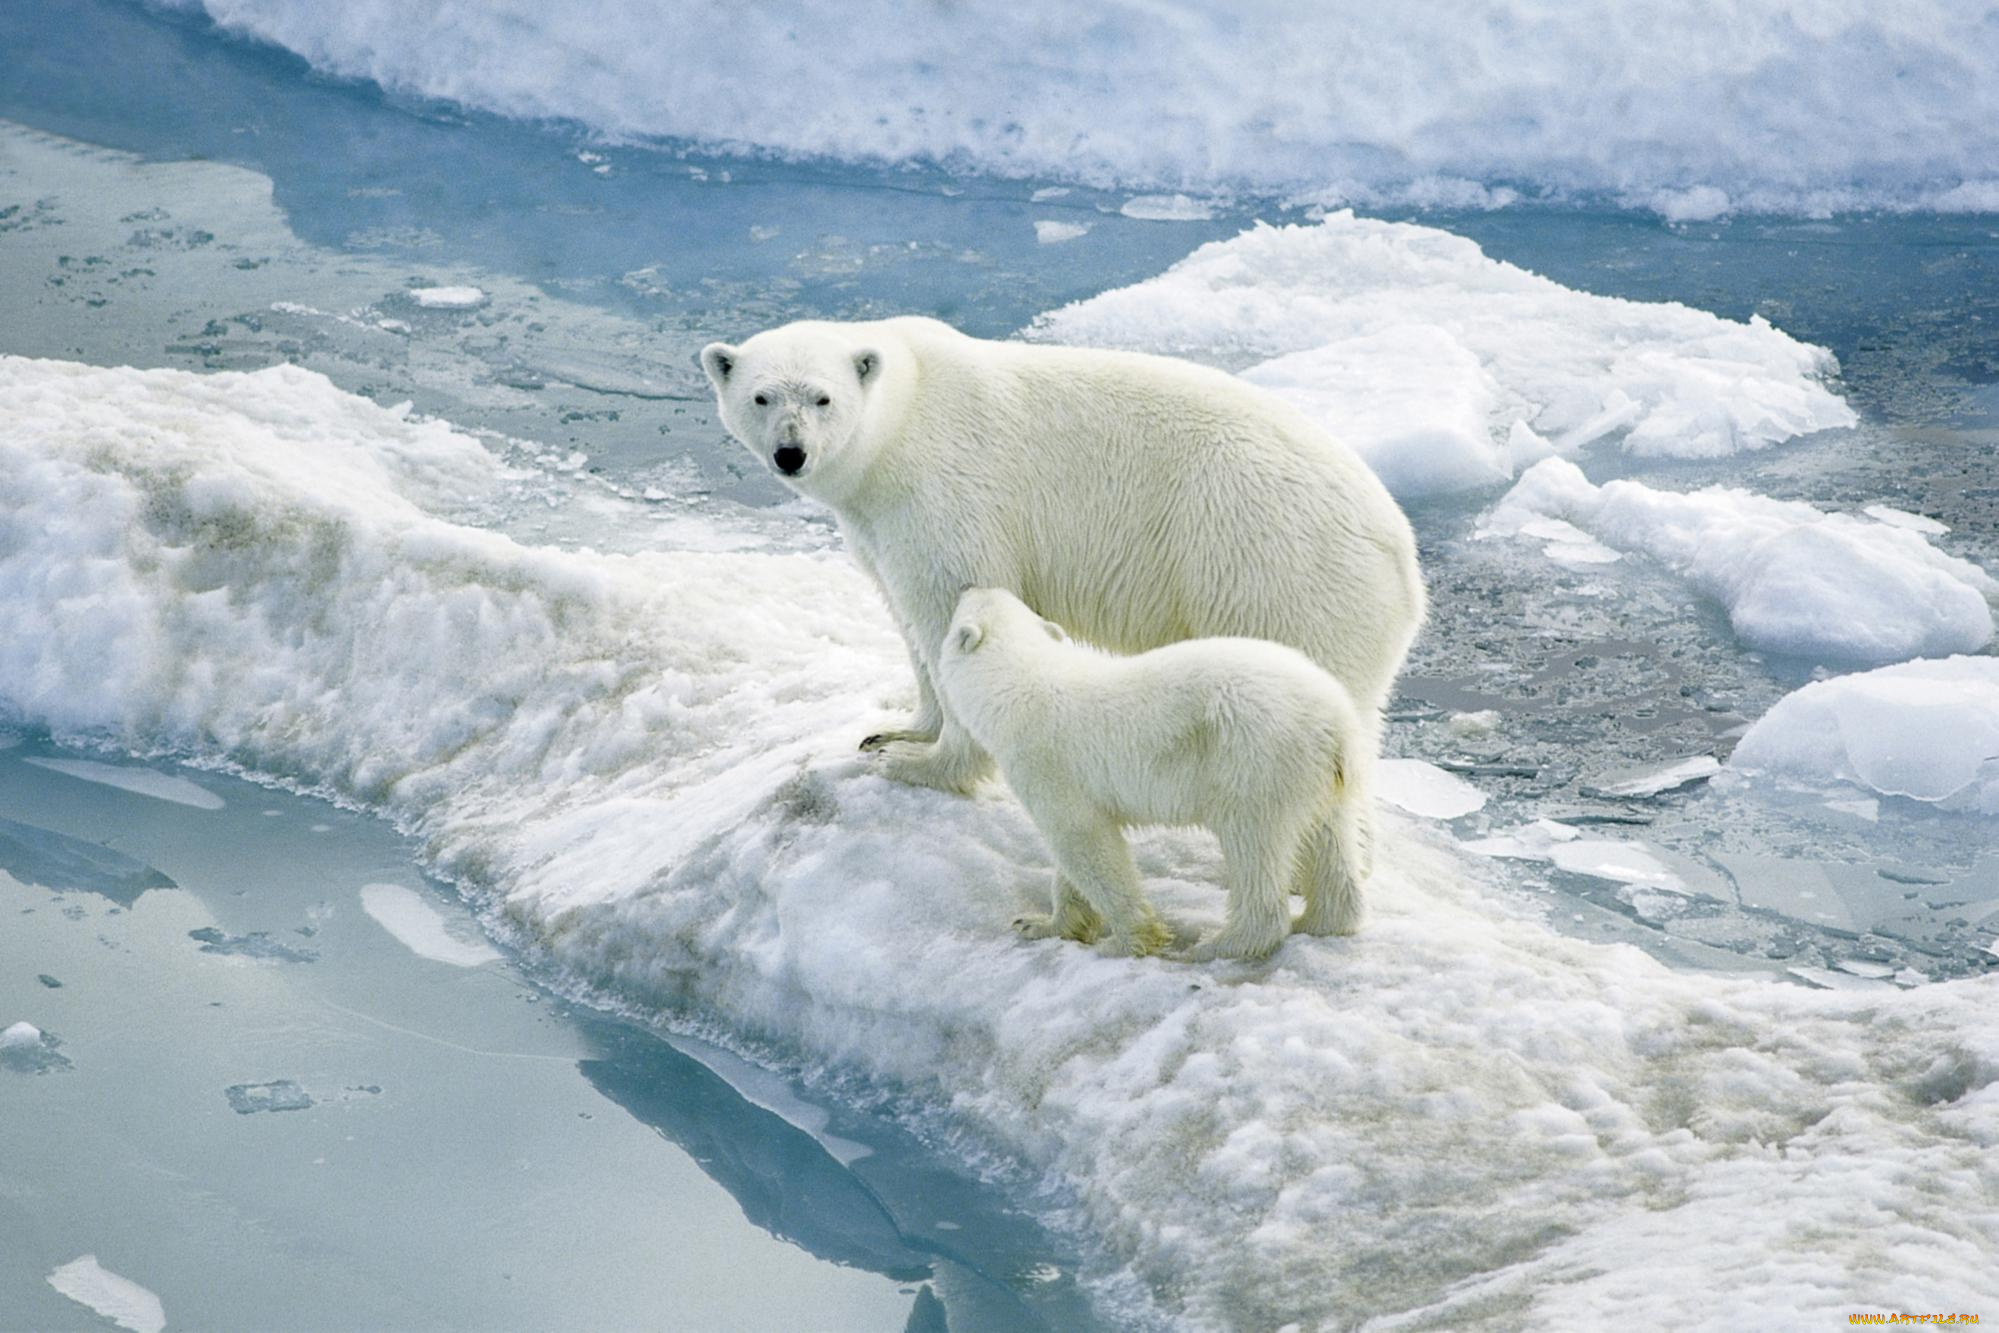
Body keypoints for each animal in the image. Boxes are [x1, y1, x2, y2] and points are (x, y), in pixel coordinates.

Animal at [938, 587, 1365, 961]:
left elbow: (1085, 843)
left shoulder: (1047, 762)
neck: (1021, 684)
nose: (967, 584)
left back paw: (1218, 944)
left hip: (1254, 758)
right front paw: (1039, 924)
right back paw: (1319, 919)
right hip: (1319, 776)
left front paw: (1127, 940)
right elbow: (1074, 857)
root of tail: (1336, 719)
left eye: (964, 605)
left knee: (1252, 842)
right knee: (1328, 839)